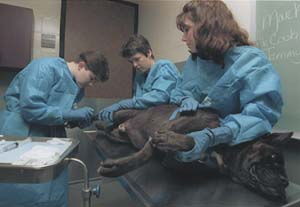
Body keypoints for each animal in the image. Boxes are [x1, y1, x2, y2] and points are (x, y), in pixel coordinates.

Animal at [95, 104, 292, 201]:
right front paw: (118, 167)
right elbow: (148, 153)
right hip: (121, 114)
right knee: (108, 119)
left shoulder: (172, 159)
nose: (285, 181)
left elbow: (190, 145)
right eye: (274, 157)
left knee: (109, 130)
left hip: (118, 135)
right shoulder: (173, 125)